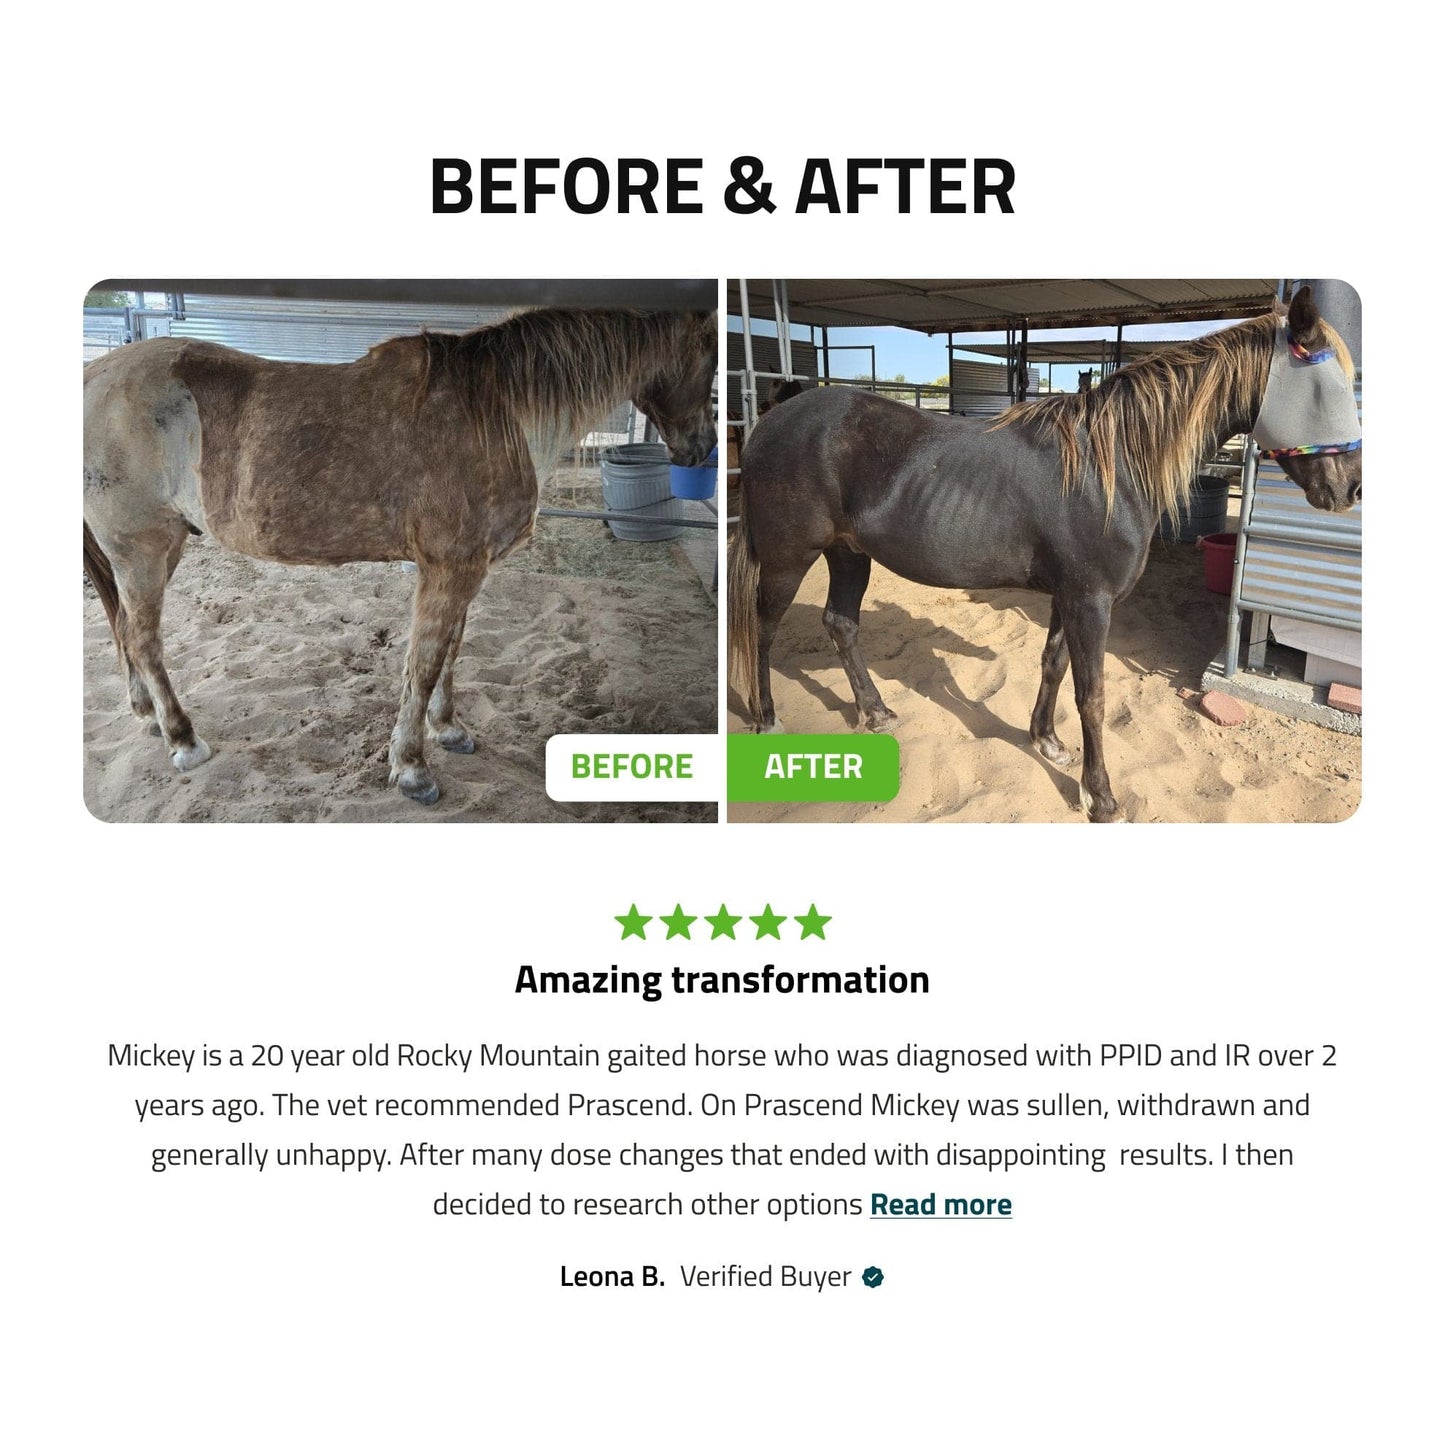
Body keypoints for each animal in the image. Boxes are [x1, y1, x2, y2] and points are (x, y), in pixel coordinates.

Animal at [84, 306, 717, 805]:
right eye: (710, 361)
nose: (703, 448)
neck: (494, 414)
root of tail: (95, 373)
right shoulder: (449, 568)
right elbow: (426, 662)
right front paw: (412, 768)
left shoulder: (466, 570)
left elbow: (451, 652)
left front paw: (449, 730)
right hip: (143, 551)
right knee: (142, 640)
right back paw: (184, 740)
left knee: (125, 632)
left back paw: (147, 716)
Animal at [728, 287, 1361, 822]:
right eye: (1326, 389)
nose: (1350, 489)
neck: (1113, 465)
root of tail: (768, 423)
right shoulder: (1091, 601)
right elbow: (1093, 695)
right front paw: (1102, 797)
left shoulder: (1069, 596)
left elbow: (1053, 665)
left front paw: (1047, 742)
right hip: (788, 558)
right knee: (762, 628)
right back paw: (768, 720)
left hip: (848, 554)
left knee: (841, 624)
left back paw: (876, 711)